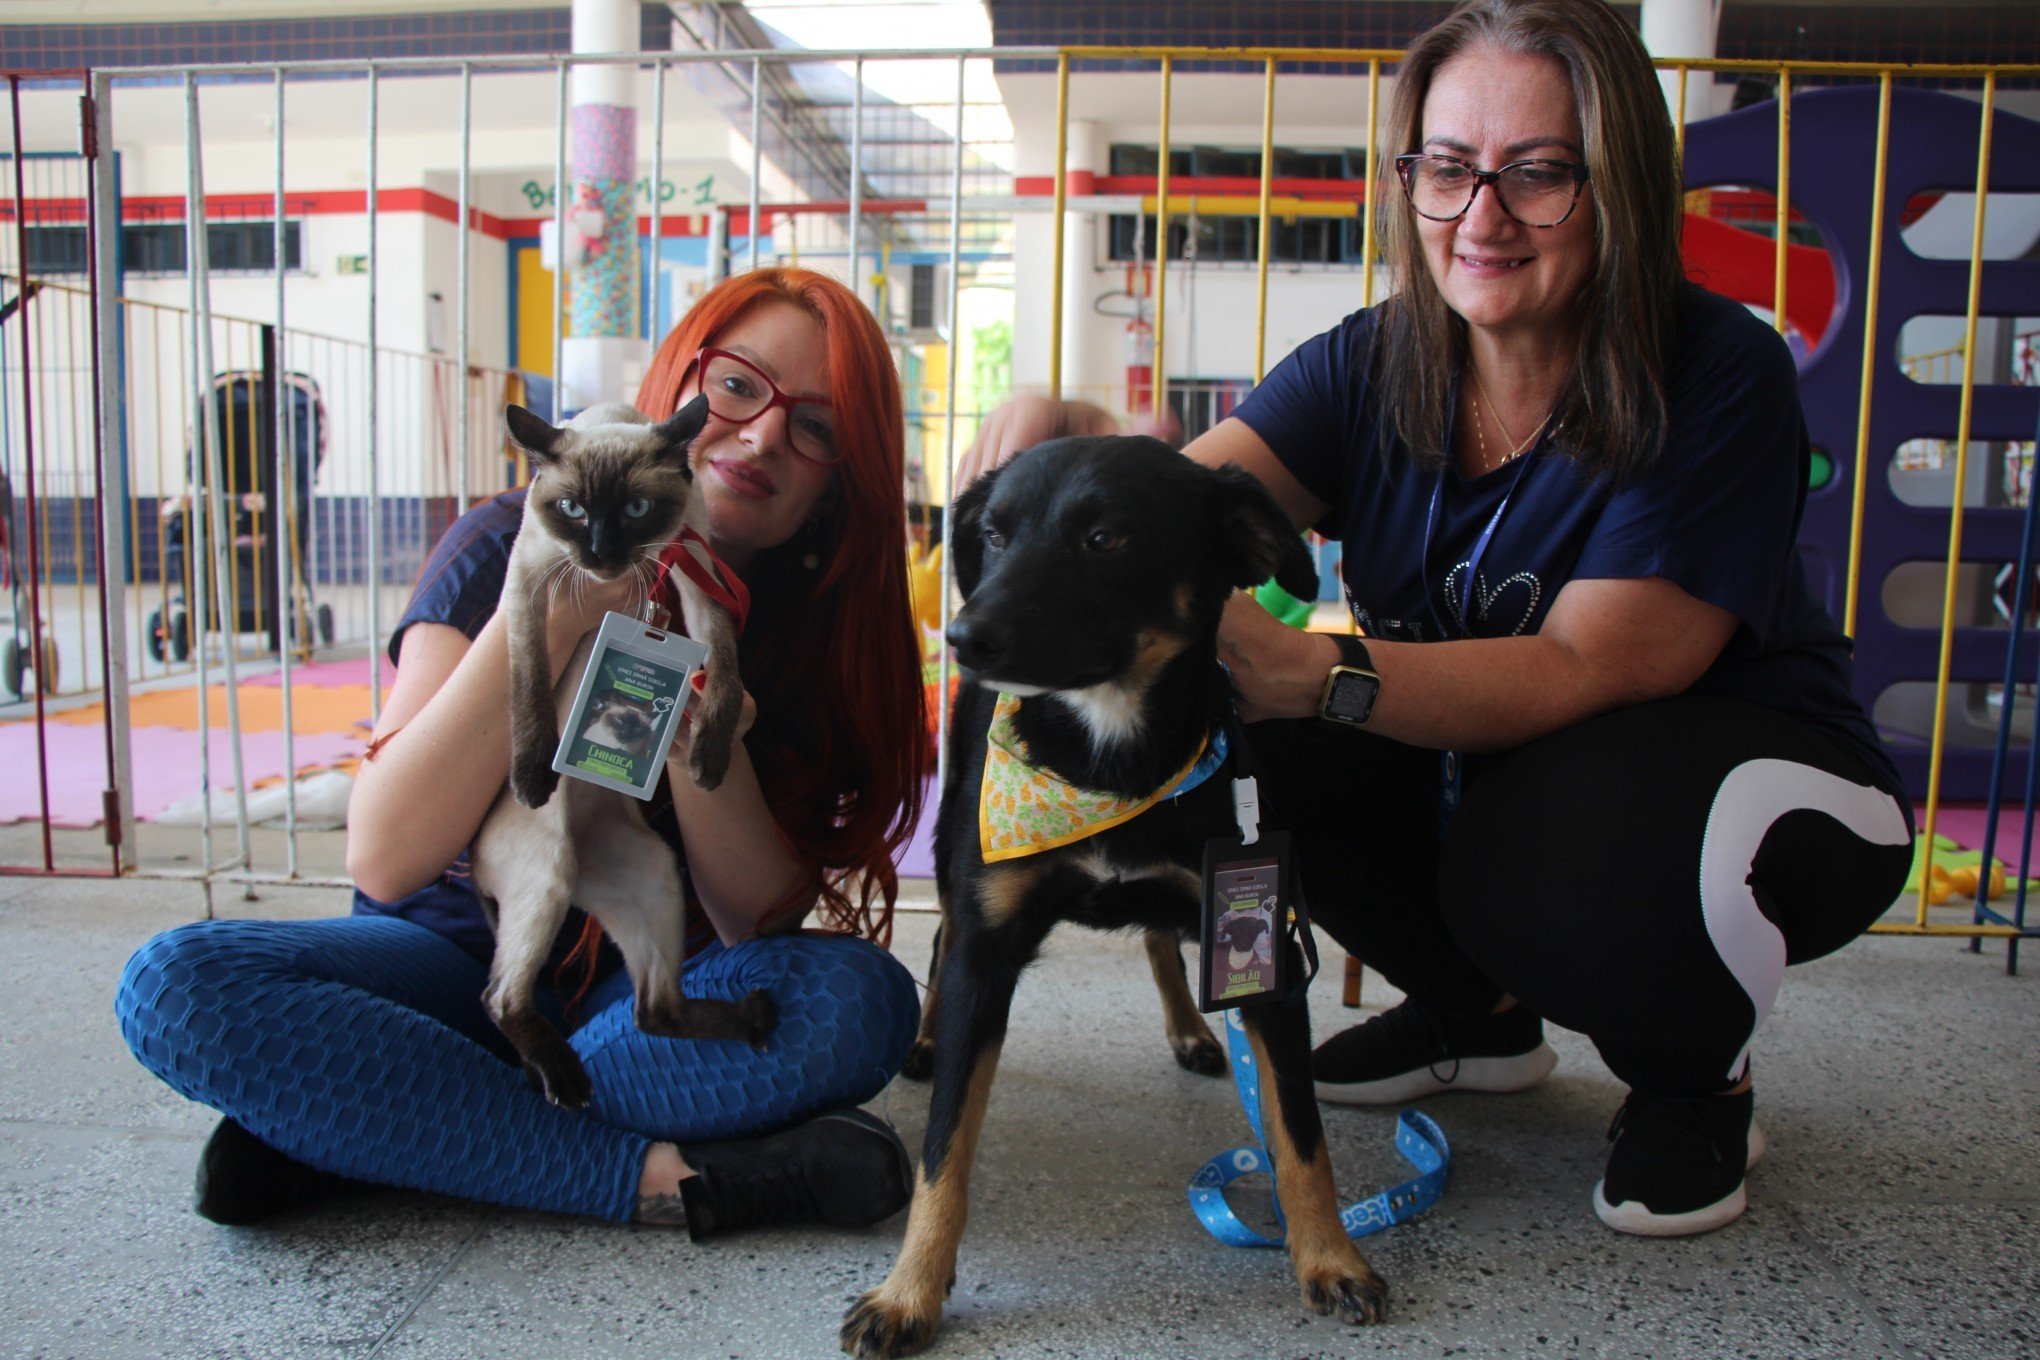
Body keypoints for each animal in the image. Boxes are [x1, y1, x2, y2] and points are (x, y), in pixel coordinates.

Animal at [473, 399, 775, 1109]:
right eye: (573, 510)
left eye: (636, 509)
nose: (603, 555)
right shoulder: (529, 585)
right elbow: (526, 684)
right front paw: (532, 777)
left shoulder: (696, 573)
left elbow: (725, 670)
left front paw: (709, 761)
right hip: (549, 879)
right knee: (499, 998)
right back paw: (567, 1081)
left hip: (654, 876)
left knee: (654, 1011)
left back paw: (751, 1019)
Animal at [840, 438, 1387, 1360]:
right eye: (994, 533)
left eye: (1106, 539)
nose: (964, 637)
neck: (1106, 760)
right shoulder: (990, 946)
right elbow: (945, 1149)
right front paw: (909, 1290)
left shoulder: (1269, 946)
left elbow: (1301, 1135)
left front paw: (1331, 1258)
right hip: (957, 849)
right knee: (946, 939)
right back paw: (927, 1036)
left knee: (1162, 937)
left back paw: (1192, 1028)